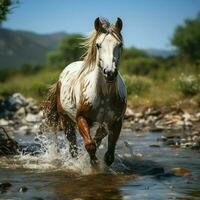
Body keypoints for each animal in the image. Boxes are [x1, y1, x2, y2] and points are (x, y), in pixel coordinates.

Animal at [43, 18, 127, 166]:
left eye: (119, 44)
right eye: (98, 45)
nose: (110, 73)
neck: (104, 94)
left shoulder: (116, 122)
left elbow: (109, 155)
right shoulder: (81, 118)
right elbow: (89, 145)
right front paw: (93, 165)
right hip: (66, 119)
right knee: (73, 146)